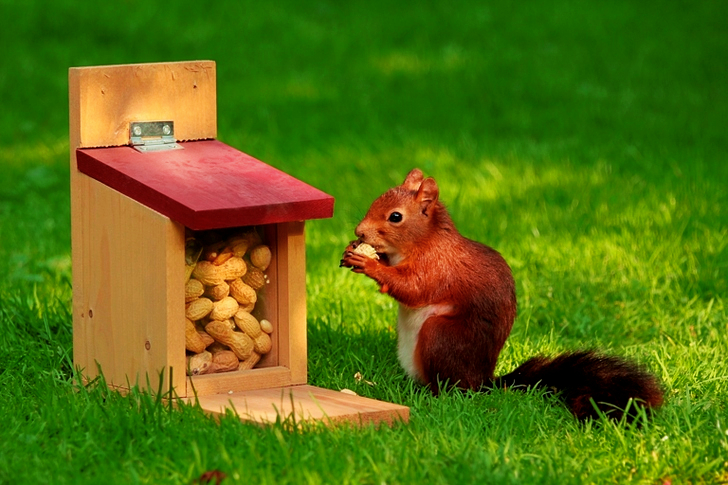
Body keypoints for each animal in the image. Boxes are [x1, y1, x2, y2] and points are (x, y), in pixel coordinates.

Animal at [340, 168, 664, 421]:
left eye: (395, 217)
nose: (359, 231)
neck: (423, 241)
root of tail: (484, 381)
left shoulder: (437, 267)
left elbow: (412, 288)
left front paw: (369, 264)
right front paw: (355, 252)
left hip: (440, 336)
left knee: (453, 388)